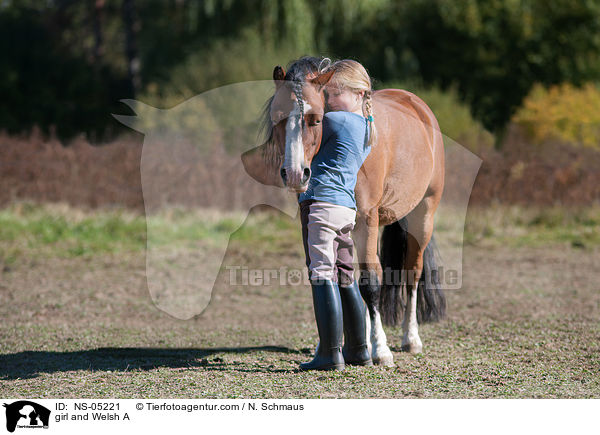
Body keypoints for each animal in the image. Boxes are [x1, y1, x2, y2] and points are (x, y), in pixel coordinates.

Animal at [240, 57, 446, 364]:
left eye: (315, 119)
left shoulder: (366, 220)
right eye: (278, 117)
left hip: (422, 216)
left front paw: (380, 350)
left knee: (412, 274)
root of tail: (416, 104)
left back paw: (410, 339)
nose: (295, 174)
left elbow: (371, 281)